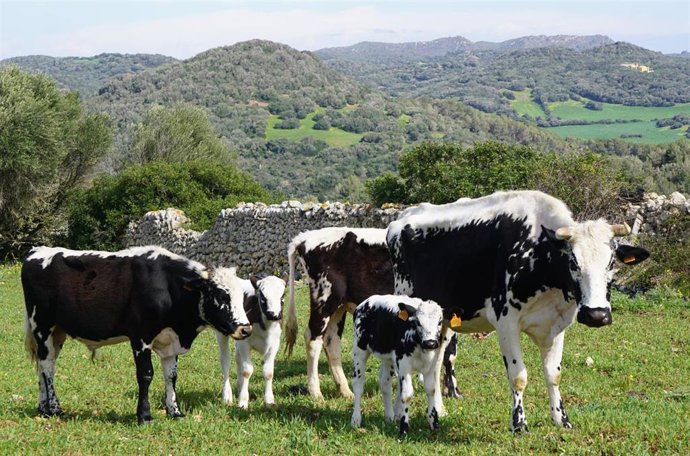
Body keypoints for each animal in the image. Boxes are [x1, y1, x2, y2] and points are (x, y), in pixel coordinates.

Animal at [22, 245, 252, 425]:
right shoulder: (141, 337)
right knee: (46, 366)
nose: (246, 329)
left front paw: (175, 412)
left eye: (241, 296)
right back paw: (54, 408)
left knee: (45, 364)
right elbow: (145, 374)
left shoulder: (170, 341)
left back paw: (43, 408)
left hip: (56, 332)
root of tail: (37, 251)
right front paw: (144, 416)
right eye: (220, 294)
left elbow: (171, 376)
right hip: (42, 325)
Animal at [216, 273, 287, 408]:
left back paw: (239, 386)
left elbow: (268, 372)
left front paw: (269, 400)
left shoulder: (274, 344)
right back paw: (227, 396)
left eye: (283, 296)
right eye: (262, 296)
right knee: (225, 361)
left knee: (237, 358)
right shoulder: (245, 343)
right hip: (222, 333)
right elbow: (247, 370)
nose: (274, 314)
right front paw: (243, 402)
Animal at [284, 227, 394, 400]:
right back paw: (316, 393)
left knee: (331, 341)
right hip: (324, 298)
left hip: (338, 306)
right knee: (313, 339)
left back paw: (345, 391)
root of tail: (305, 237)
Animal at [351, 295, 444, 436]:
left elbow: (431, 390)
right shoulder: (403, 365)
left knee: (385, 384)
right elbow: (406, 394)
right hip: (359, 350)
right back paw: (356, 419)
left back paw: (389, 417)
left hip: (388, 358)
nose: (430, 343)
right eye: (418, 322)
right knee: (358, 385)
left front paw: (434, 423)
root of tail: (366, 302)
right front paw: (404, 428)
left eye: (439, 322)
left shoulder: (429, 366)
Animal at [386, 190, 650, 432]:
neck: (539, 255)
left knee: (436, 361)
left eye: (611, 263)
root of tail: (402, 218)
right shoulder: (506, 321)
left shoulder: (557, 324)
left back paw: (439, 410)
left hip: (440, 323)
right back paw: (399, 413)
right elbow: (518, 376)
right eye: (573, 263)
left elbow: (553, 375)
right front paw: (519, 423)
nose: (596, 315)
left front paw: (561, 419)